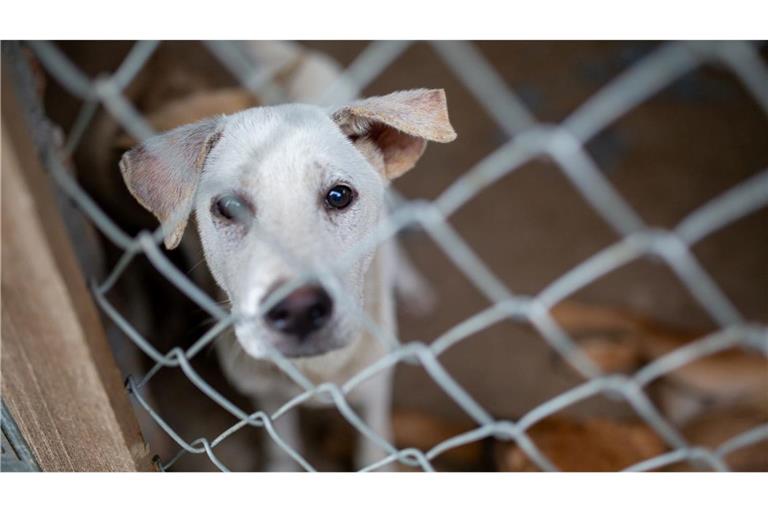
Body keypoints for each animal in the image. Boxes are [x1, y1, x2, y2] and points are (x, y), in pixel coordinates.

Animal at [119, 89, 456, 472]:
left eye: (339, 196)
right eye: (230, 206)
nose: (299, 310)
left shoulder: (374, 389)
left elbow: (372, 449)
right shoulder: (267, 397)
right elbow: (282, 443)